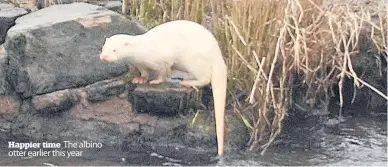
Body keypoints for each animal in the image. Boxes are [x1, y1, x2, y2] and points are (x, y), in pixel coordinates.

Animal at [99, 19, 227, 157]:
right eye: (103, 48)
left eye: (114, 50)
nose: (104, 57)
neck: (142, 51)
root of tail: (218, 56)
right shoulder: (140, 64)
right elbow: (144, 72)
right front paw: (140, 79)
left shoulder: (162, 59)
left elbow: (164, 72)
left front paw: (156, 81)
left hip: (194, 60)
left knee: (205, 77)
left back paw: (187, 82)